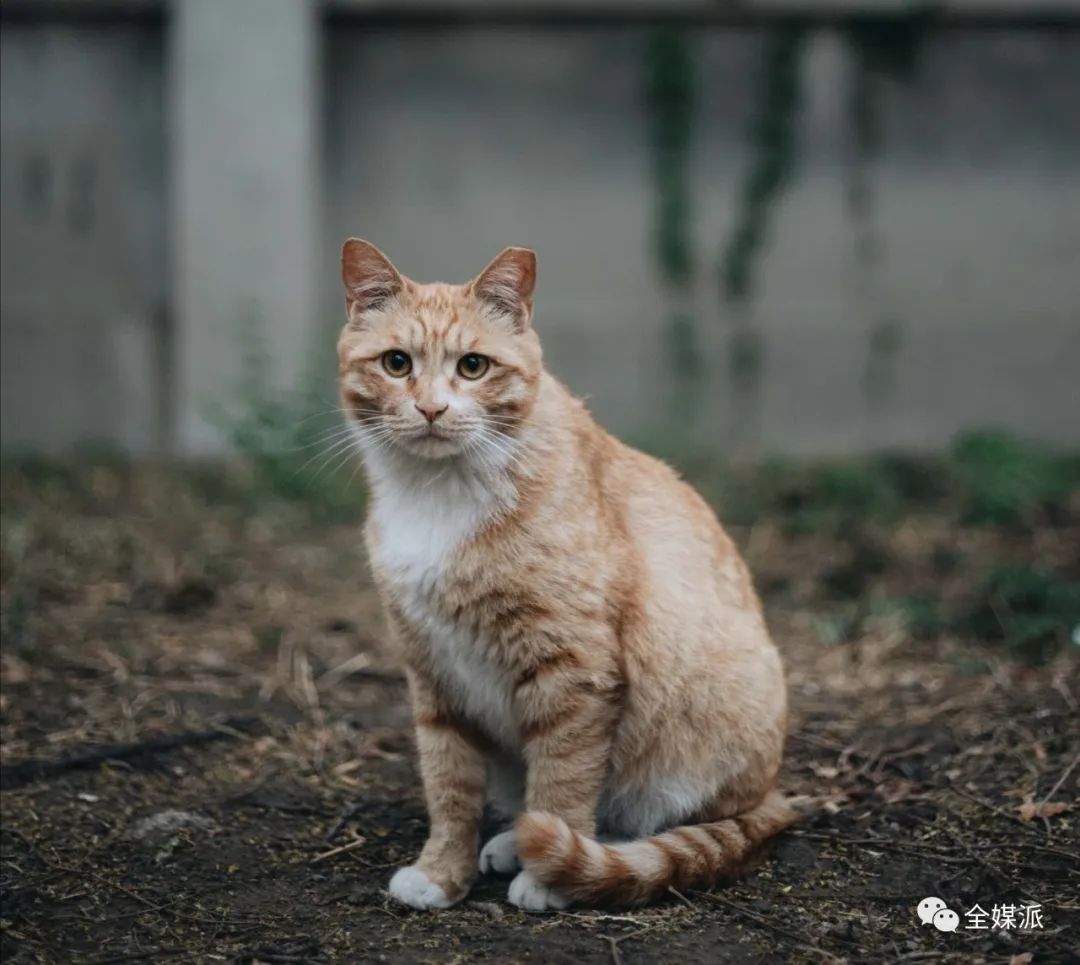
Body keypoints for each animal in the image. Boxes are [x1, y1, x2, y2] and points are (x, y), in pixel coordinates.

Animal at [341, 237, 799, 911]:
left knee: (652, 824)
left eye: (473, 367)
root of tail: (773, 795)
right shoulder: (433, 675)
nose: (430, 408)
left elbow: (563, 780)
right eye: (397, 363)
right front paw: (441, 873)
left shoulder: (574, 670)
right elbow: (449, 787)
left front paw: (545, 878)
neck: (438, 493)